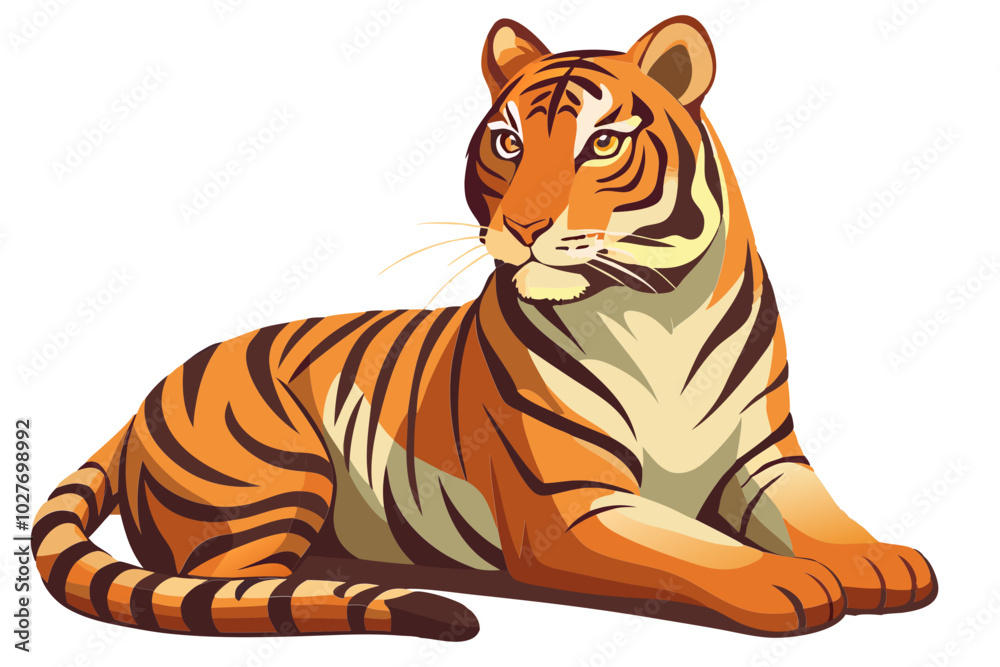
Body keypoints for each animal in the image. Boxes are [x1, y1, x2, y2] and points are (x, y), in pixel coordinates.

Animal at [33, 16, 937, 640]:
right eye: (506, 141)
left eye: (601, 144)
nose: (523, 226)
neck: (657, 306)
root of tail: (141, 400)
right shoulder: (574, 504)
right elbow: (692, 545)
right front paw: (791, 581)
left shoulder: (765, 455)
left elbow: (821, 517)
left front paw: (878, 559)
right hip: (274, 472)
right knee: (223, 587)